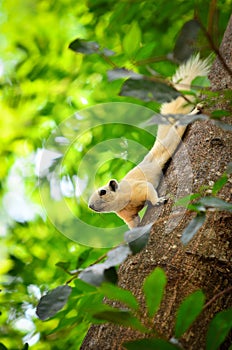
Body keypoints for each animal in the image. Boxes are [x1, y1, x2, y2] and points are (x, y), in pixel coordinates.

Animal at [88, 54, 210, 228]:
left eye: (102, 192)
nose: (90, 206)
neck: (120, 201)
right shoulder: (128, 216)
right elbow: (134, 223)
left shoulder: (137, 188)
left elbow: (149, 190)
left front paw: (158, 200)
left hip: (166, 146)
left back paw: (194, 112)